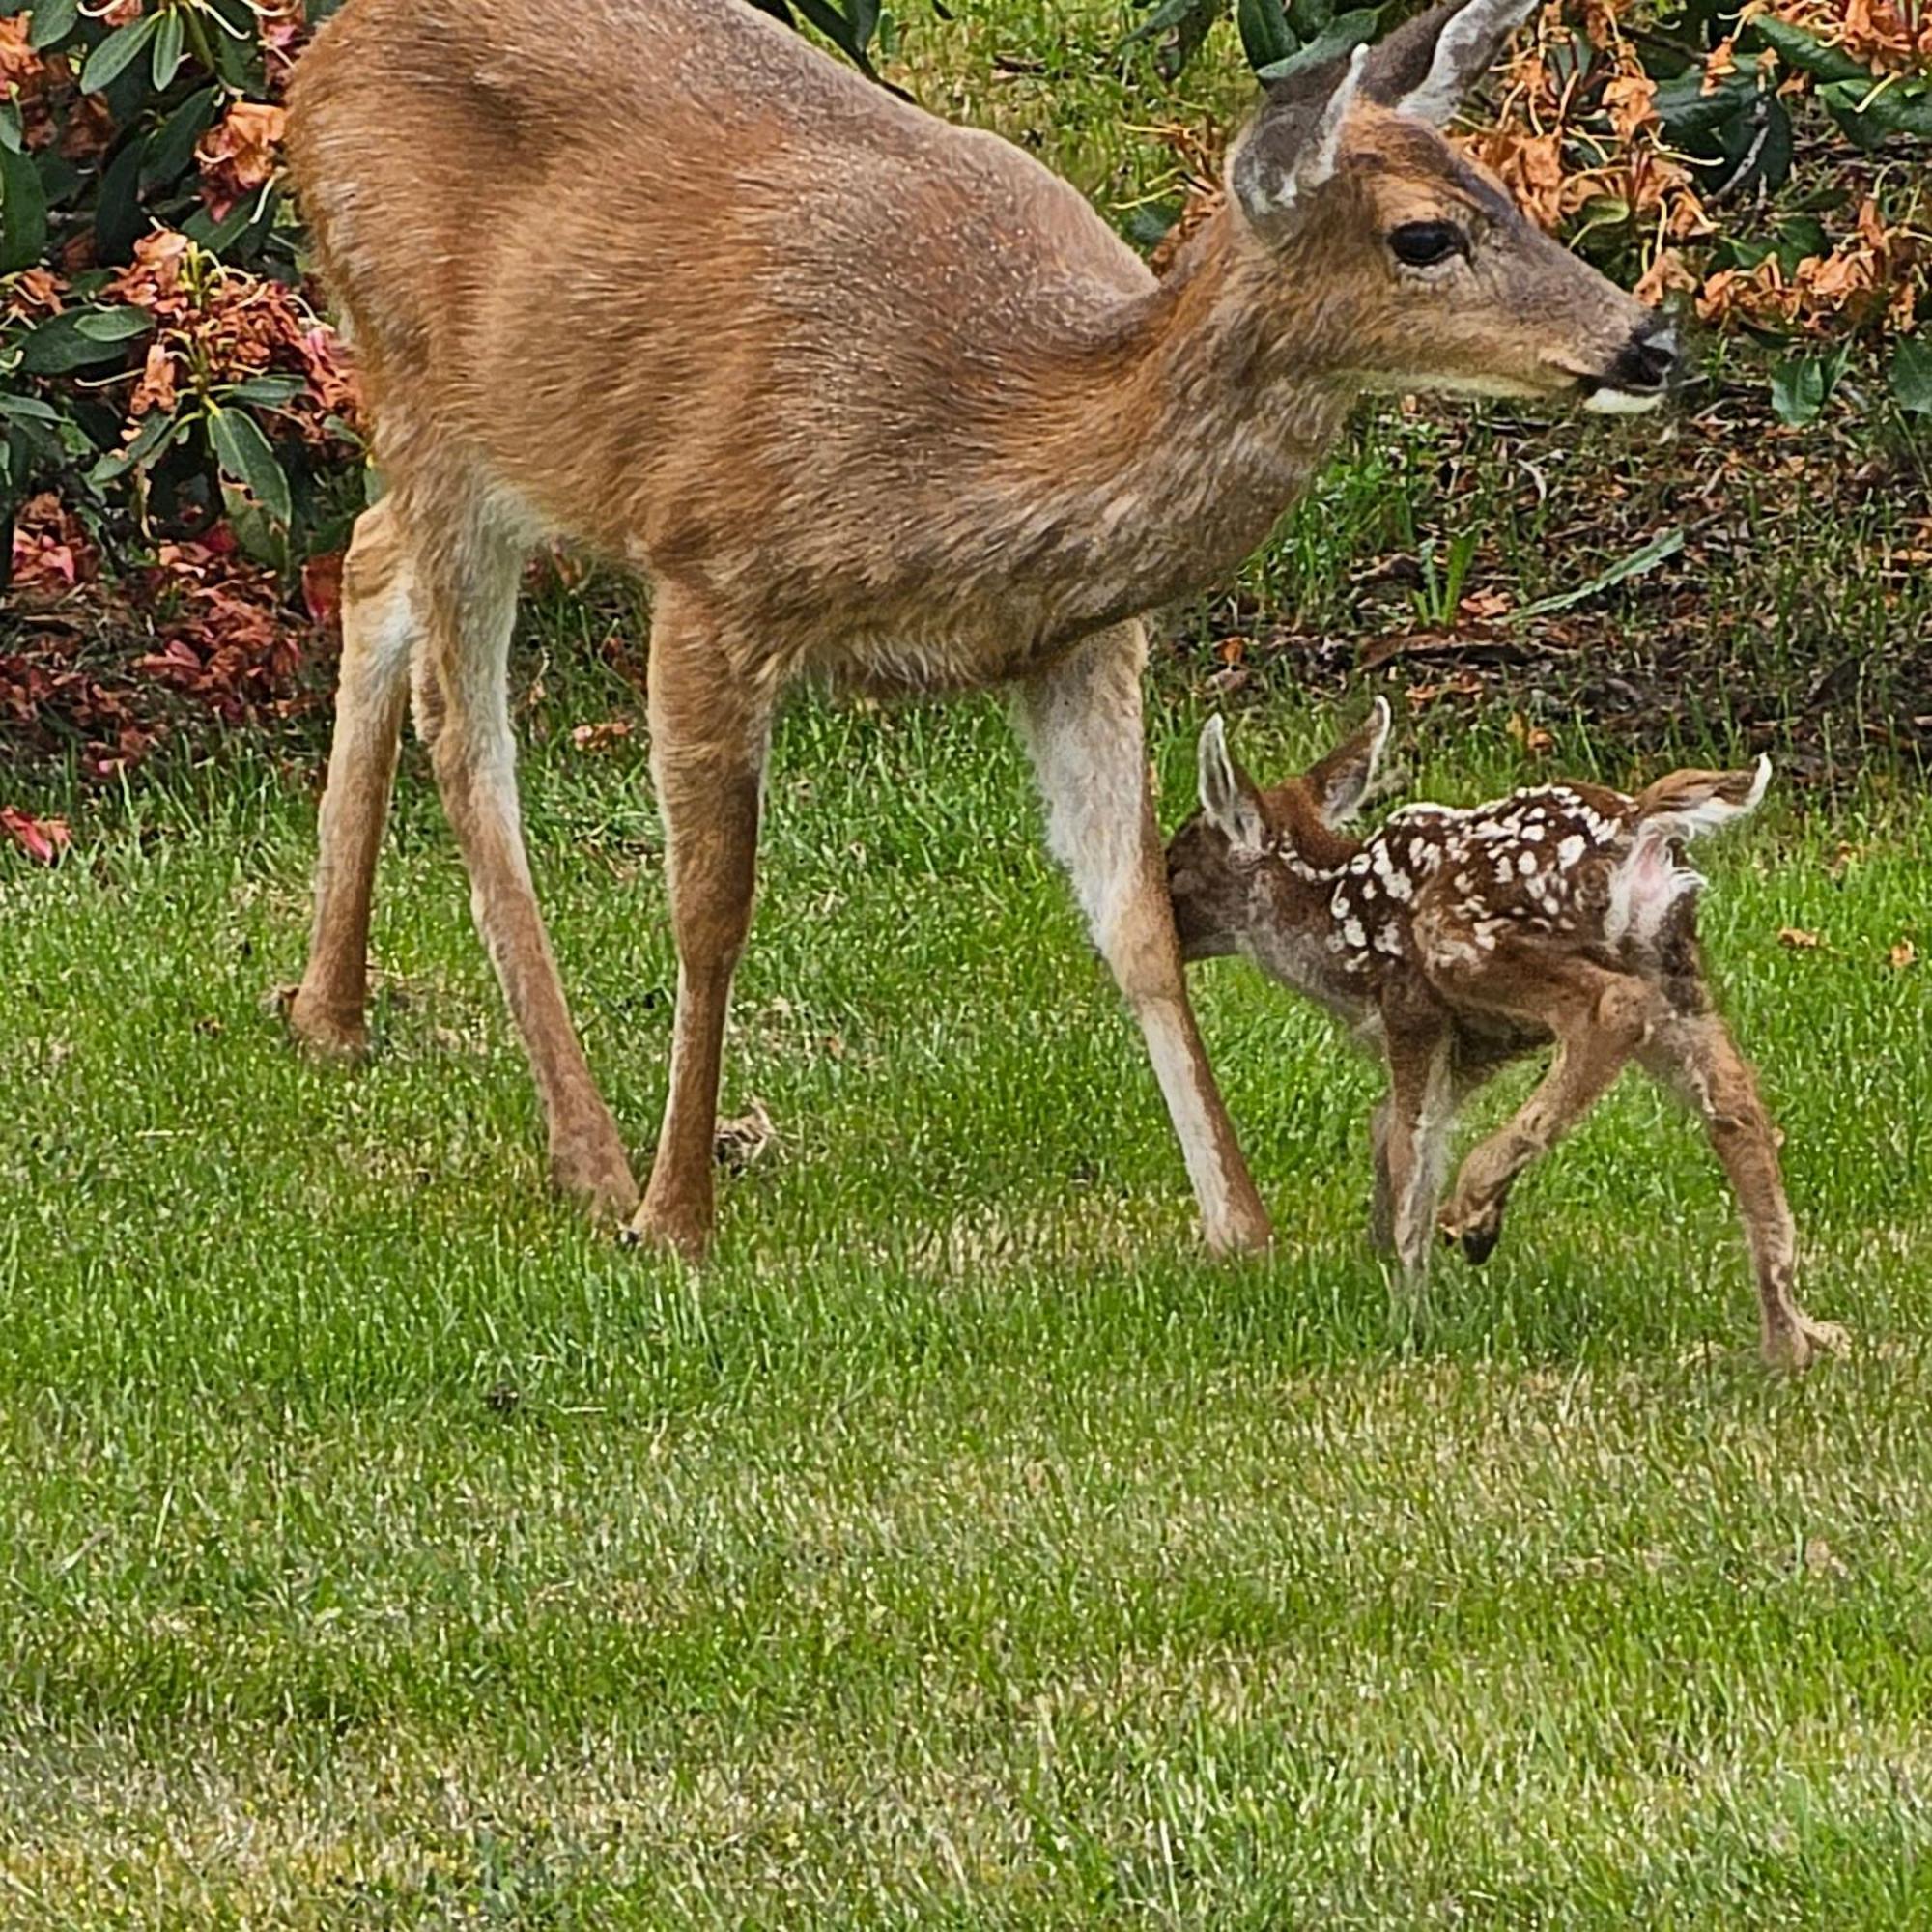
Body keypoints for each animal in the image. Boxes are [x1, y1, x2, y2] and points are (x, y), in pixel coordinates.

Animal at [282, 0, 1677, 1252]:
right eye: (1423, 235)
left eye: (1503, 190)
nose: (1648, 340)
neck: (974, 439)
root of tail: (319, 61)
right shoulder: (712, 574)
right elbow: (711, 912)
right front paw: (678, 1219)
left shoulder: (1081, 643)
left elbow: (1138, 922)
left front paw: (1242, 1227)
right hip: (421, 375)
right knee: (469, 737)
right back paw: (588, 1156)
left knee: (369, 559)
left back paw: (328, 1011)